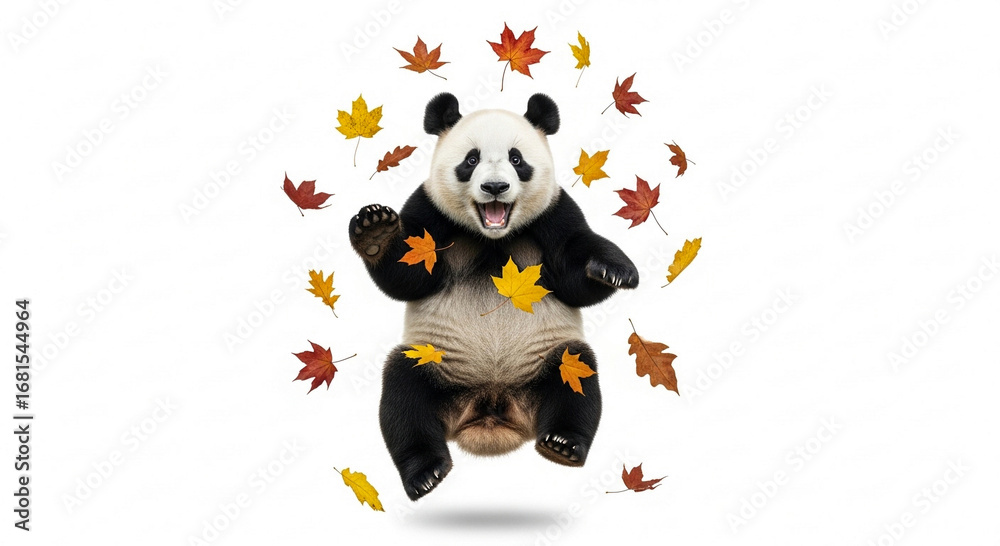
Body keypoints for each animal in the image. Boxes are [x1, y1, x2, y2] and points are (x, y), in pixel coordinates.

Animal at [348, 93, 639, 500]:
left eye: (517, 159)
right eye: (471, 160)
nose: (496, 187)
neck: (492, 237)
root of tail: (492, 406)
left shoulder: (554, 212)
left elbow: (573, 274)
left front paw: (613, 269)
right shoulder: (430, 211)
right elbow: (407, 274)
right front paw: (375, 230)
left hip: (546, 360)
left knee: (575, 378)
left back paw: (563, 444)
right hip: (435, 361)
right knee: (403, 395)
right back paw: (425, 472)